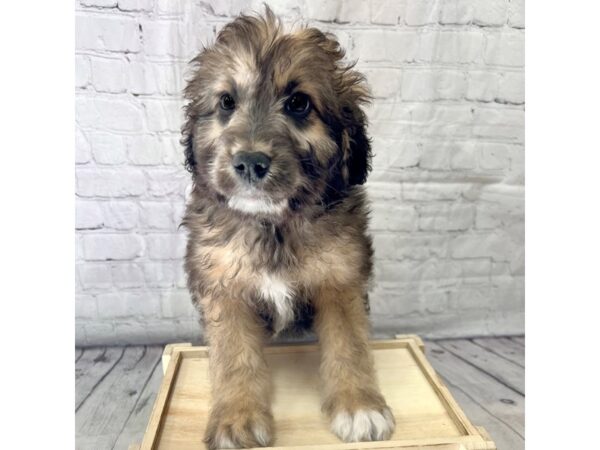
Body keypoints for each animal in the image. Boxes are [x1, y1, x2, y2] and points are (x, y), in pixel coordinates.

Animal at [182, 8, 398, 448]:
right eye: (226, 102)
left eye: (299, 103)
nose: (250, 163)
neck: (274, 225)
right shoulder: (223, 287)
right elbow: (233, 355)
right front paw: (237, 417)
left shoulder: (340, 279)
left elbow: (349, 345)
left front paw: (358, 405)